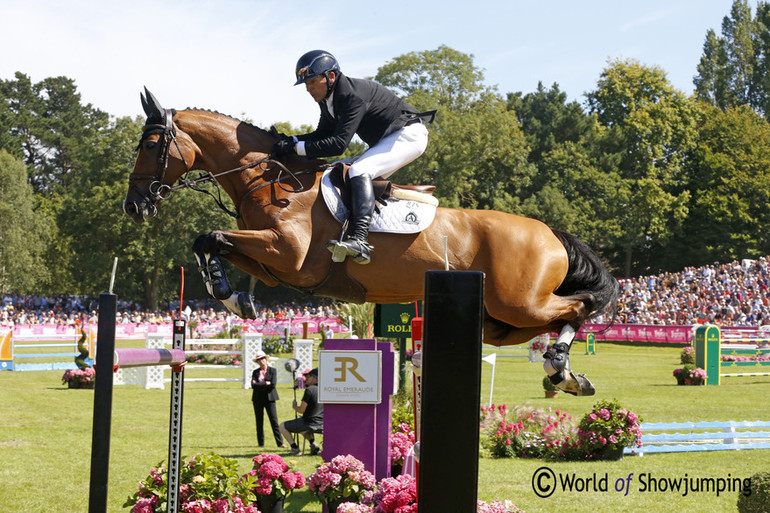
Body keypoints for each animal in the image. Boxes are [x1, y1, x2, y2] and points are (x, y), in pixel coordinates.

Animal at [123, 88, 616, 394]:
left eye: (149, 145)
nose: (133, 206)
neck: (271, 181)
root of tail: (551, 231)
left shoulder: (288, 255)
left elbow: (208, 236)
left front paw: (228, 295)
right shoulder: (274, 262)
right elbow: (211, 242)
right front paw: (233, 297)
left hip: (519, 303)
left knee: (580, 306)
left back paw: (560, 367)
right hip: (502, 319)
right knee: (552, 321)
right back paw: (566, 374)